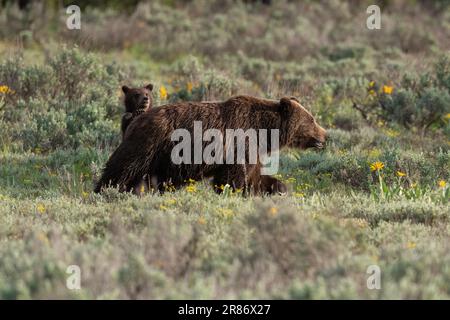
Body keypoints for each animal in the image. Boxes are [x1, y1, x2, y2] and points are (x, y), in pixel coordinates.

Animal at [96, 95, 326, 195]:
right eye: (312, 119)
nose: (325, 136)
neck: (265, 131)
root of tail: (136, 120)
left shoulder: (253, 150)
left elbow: (255, 177)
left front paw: (278, 188)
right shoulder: (239, 144)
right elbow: (232, 178)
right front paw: (231, 192)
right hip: (149, 144)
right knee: (123, 168)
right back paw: (105, 190)